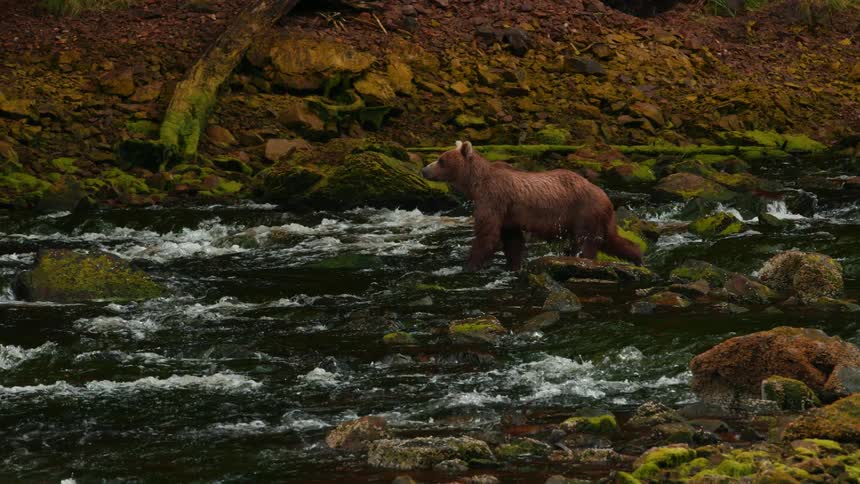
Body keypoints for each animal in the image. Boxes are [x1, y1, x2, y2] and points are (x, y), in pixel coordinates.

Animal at [421, 140, 643, 271]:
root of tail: (605, 196)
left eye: (440, 160)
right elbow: (512, 241)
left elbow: (487, 234)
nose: (424, 170)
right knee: (613, 240)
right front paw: (514, 265)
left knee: (586, 242)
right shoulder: (508, 213)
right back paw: (638, 257)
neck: (475, 185)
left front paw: (468, 265)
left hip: (584, 211)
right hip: (598, 217)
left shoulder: (493, 199)